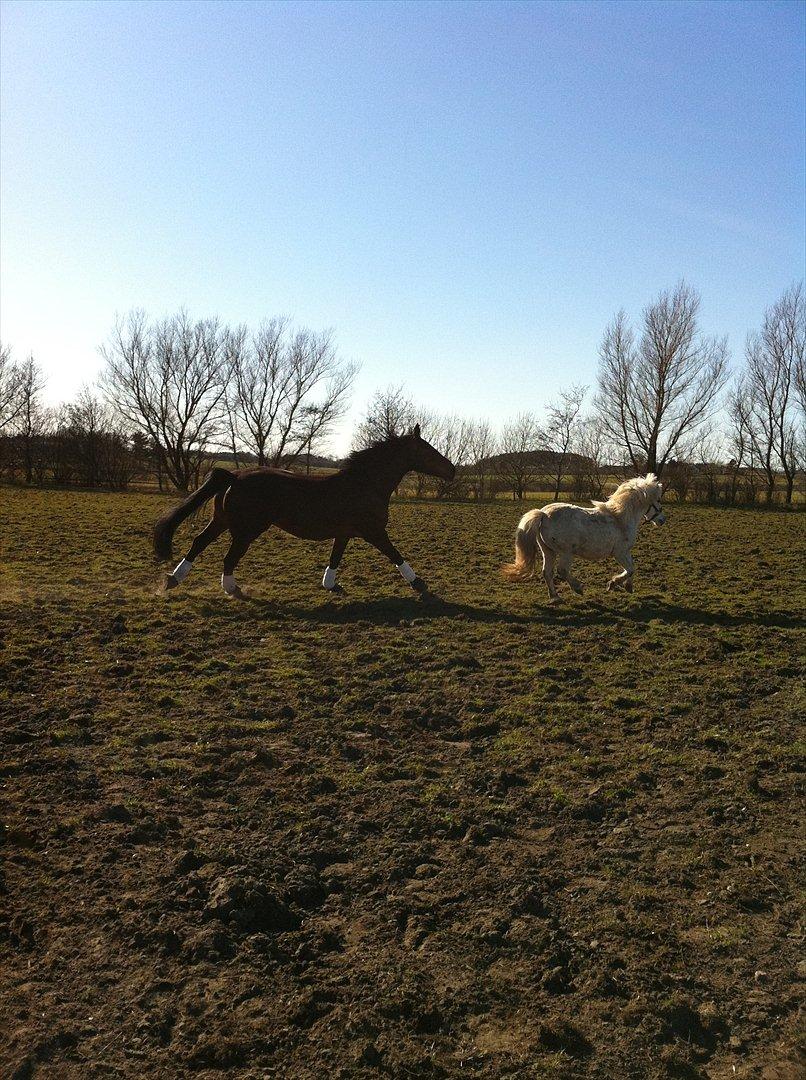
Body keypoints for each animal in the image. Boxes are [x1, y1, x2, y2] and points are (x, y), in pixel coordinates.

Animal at [151, 425, 451, 600]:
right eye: (428, 450)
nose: (452, 469)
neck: (365, 484)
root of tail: (235, 476)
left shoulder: (345, 533)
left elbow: (335, 558)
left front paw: (331, 585)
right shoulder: (373, 531)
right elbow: (395, 554)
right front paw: (419, 584)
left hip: (223, 521)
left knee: (199, 542)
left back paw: (173, 580)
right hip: (246, 530)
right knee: (228, 557)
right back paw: (231, 588)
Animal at [501, 477, 665, 604]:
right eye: (657, 500)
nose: (662, 520)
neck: (620, 519)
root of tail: (543, 514)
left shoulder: (626, 552)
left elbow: (632, 568)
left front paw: (628, 587)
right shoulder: (620, 553)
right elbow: (630, 569)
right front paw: (613, 584)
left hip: (548, 551)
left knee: (547, 572)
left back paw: (556, 597)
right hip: (566, 552)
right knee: (562, 570)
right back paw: (578, 588)